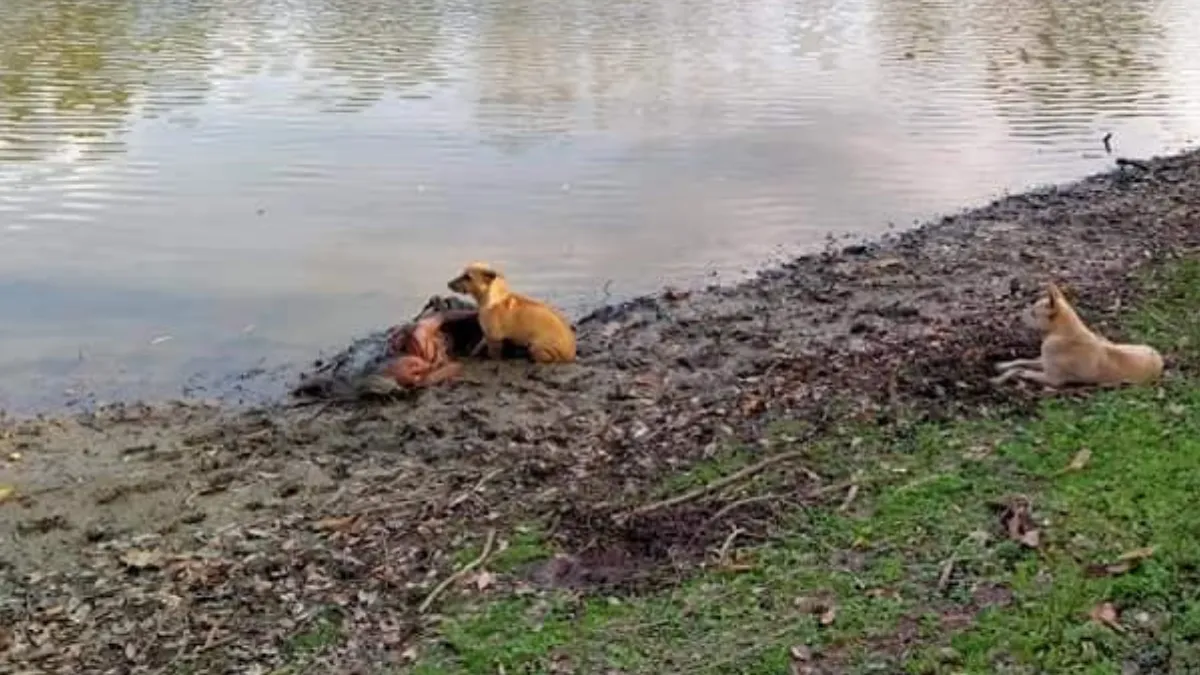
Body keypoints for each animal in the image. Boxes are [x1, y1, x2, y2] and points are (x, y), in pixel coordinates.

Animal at [446, 260, 576, 362]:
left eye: (468, 277)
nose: (448, 283)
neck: (492, 297)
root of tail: (571, 354)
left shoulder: (494, 338)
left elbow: (493, 354)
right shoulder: (488, 334)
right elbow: (479, 345)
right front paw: (472, 353)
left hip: (536, 348)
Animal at [993, 278, 1161, 386]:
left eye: (1034, 313)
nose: (1017, 316)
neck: (1063, 332)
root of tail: (1160, 359)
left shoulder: (1052, 378)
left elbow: (1021, 370)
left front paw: (1001, 378)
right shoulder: (1043, 360)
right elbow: (1021, 361)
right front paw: (1003, 366)